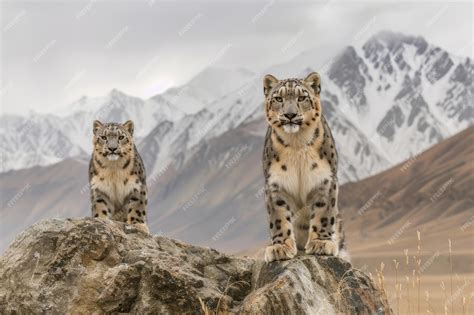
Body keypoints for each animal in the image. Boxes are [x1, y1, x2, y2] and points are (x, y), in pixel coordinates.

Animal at [262, 73, 346, 262]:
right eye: (278, 98)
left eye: (302, 97)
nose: (290, 114)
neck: (296, 143)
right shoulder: (275, 183)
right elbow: (279, 217)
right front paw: (280, 247)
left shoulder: (325, 180)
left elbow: (323, 213)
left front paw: (322, 243)